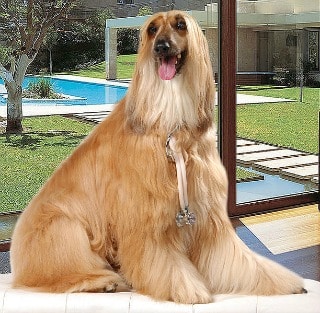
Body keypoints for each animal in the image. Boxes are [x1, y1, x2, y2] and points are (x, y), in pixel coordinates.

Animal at [10, 11, 304, 302]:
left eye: (180, 25)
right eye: (152, 29)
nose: (161, 47)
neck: (171, 113)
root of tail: (17, 260)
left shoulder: (208, 214)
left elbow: (238, 261)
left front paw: (285, 282)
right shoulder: (145, 213)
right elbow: (164, 261)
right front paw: (188, 289)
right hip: (63, 226)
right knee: (63, 273)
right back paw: (105, 281)